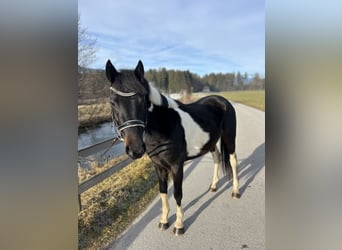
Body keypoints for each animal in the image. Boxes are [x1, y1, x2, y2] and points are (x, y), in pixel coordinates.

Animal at [105, 59, 240, 235]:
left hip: (229, 138)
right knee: (217, 158)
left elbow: (177, 193)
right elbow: (163, 191)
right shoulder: (158, 166)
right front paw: (164, 221)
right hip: (210, 142)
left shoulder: (176, 166)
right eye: (112, 102)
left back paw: (236, 191)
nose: (135, 149)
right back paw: (213, 186)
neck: (164, 125)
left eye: (142, 99)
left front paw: (178, 225)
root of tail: (222, 101)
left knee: (233, 160)